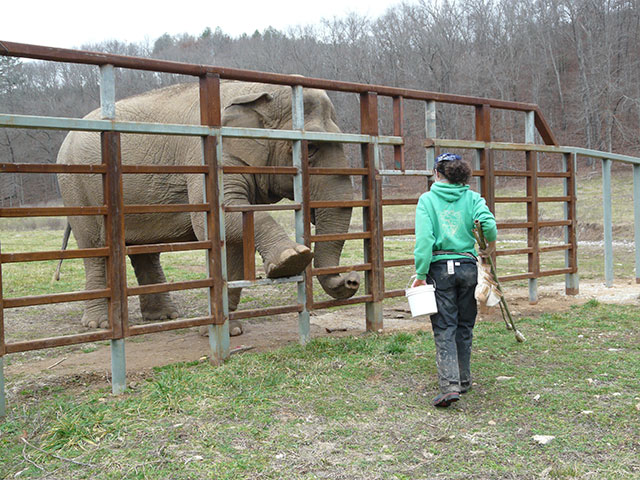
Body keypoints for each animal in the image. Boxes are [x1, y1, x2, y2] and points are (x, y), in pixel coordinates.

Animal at [56, 79, 360, 334]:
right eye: (310, 150)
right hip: (76, 187)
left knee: (146, 252)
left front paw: (229, 331)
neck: (256, 89)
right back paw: (99, 325)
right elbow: (221, 221)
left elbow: (237, 237)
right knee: (96, 248)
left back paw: (164, 317)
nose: (352, 279)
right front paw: (291, 259)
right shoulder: (207, 157)